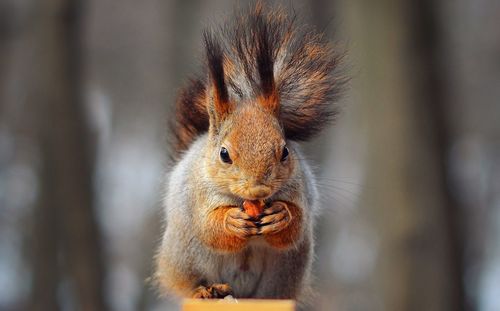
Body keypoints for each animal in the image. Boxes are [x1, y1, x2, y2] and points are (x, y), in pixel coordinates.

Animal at [154, 1, 346, 310]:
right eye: (224, 154)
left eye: (285, 151)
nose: (258, 189)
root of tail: (241, 292)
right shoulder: (197, 194)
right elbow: (209, 228)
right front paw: (230, 222)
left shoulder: (300, 189)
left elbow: (297, 223)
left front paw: (282, 215)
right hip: (184, 256)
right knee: (192, 280)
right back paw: (206, 291)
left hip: (288, 269)